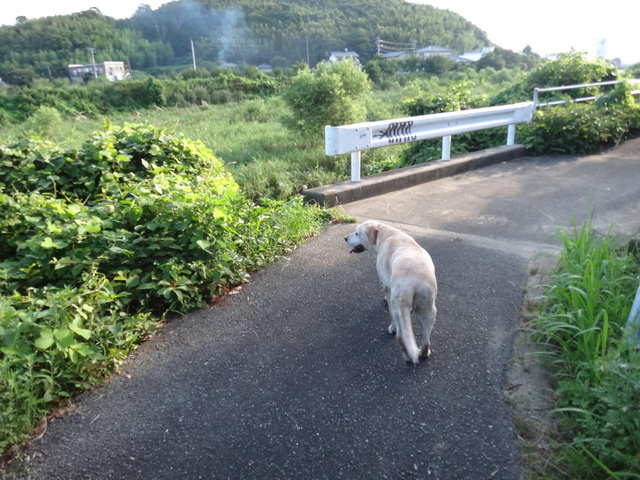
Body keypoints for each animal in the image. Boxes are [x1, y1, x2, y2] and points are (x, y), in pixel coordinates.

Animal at [344, 221, 440, 364]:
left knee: (400, 336)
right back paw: (424, 352)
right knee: (426, 337)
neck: (384, 234)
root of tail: (410, 284)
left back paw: (406, 356)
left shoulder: (387, 284)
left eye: (356, 233)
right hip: (429, 308)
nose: (345, 238)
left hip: (398, 307)